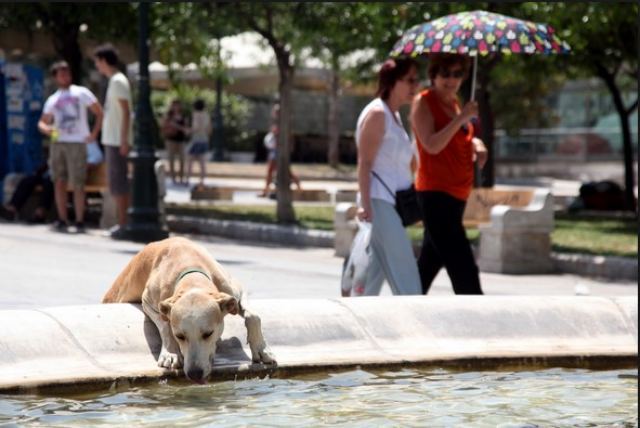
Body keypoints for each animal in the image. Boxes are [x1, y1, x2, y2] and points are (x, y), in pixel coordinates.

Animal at [102, 236, 276, 382]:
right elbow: (165, 324)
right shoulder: (148, 301)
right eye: (179, 336)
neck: (191, 274)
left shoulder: (235, 289)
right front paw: (170, 353)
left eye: (208, 333)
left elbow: (253, 316)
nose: (195, 374)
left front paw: (262, 349)